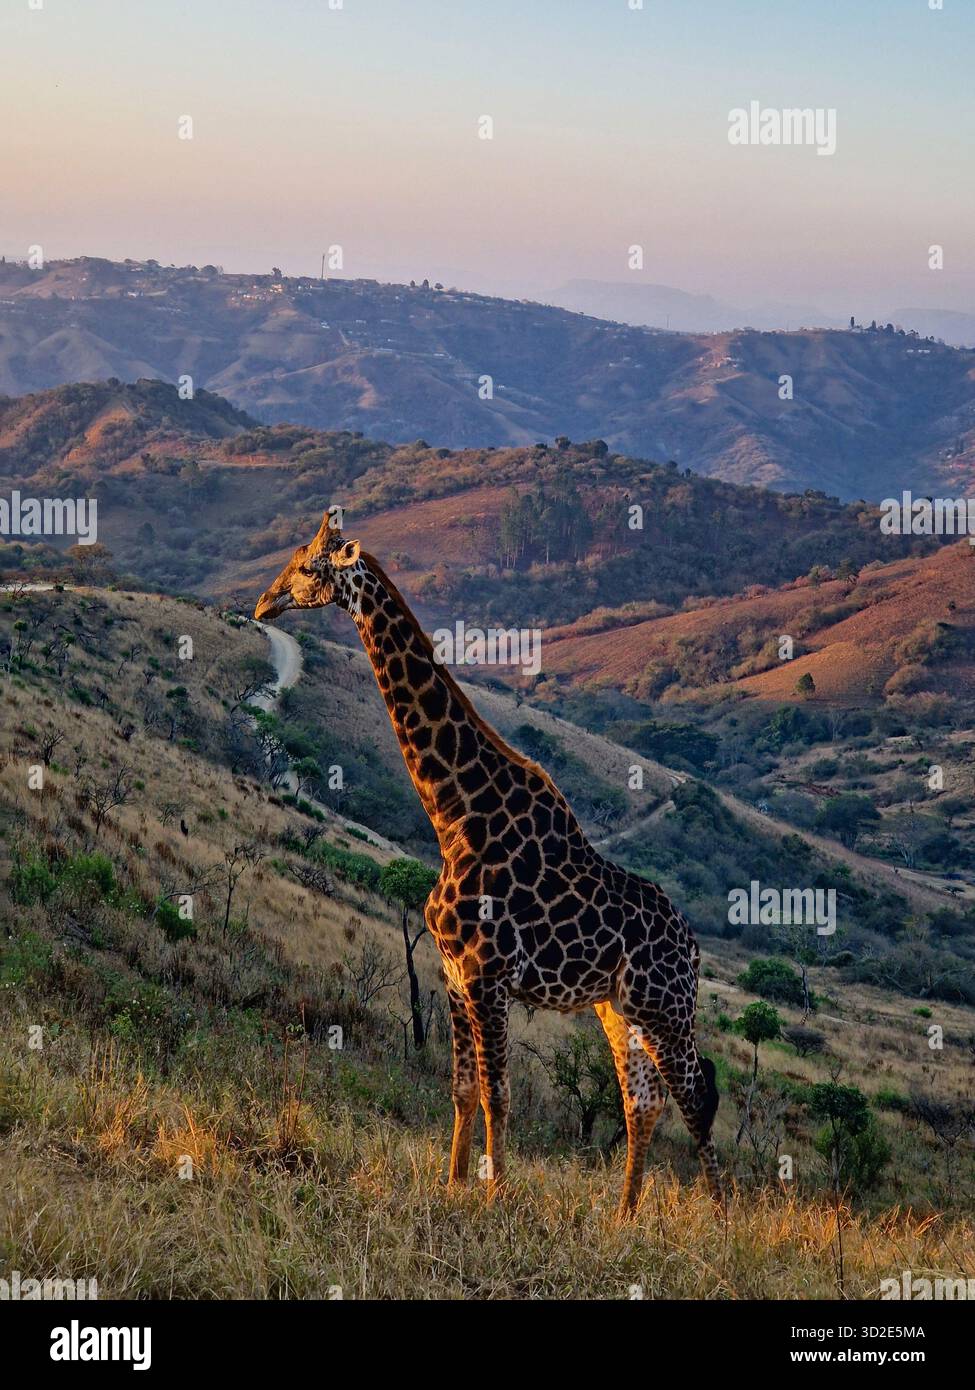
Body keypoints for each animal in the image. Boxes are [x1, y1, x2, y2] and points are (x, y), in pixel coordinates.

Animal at [255, 515, 721, 1214]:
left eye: (310, 567)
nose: (263, 604)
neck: (454, 815)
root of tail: (693, 947)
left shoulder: (488, 975)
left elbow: (499, 1093)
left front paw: (496, 1192)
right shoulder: (452, 974)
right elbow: (464, 1089)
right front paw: (451, 1183)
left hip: (666, 1007)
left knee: (696, 1094)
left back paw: (723, 1215)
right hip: (621, 1009)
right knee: (642, 1101)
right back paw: (624, 1218)